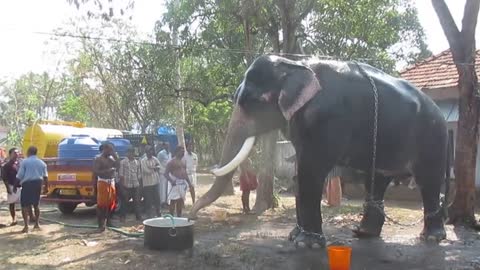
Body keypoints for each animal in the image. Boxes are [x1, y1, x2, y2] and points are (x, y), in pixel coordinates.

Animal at [188, 54, 450, 249]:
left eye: (252, 101)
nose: (191, 216)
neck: (295, 64)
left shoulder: (326, 118)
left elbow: (310, 172)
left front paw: (307, 243)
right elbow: (299, 173)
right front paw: (294, 236)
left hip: (433, 135)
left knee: (428, 180)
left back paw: (431, 237)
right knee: (377, 180)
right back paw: (363, 233)